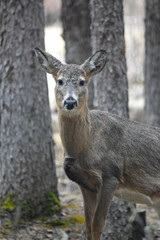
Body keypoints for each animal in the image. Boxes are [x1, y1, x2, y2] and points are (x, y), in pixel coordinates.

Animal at [35, 48, 160, 240]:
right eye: (60, 80)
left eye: (82, 81)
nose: (70, 102)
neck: (86, 145)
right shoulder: (85, 184)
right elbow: (87, 225)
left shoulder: (110, 176)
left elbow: (98, 224)